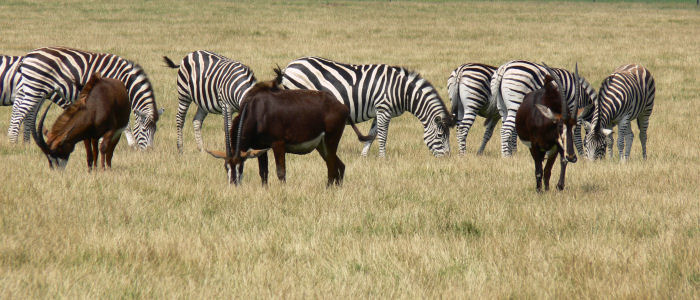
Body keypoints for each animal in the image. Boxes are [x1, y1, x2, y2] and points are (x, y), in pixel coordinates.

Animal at [7, 46, 161, 149]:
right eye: (144, 130)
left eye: (155, 130)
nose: (149, 151)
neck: (125, 81)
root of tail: (27, 56)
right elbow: (125, 124)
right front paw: (129, 144)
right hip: (34, 87)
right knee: (20, 113)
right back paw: (13, 143)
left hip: (33, 88)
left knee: (21, 112)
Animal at [206, 67, 374, 188]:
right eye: (226, 167)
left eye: (240, 166)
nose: (233, 186)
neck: (256, 110)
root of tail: (342, 106)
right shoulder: (260, 147)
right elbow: (263, 172)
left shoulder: (278, 144)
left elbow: (281, 172)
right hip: (322, 145)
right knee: (340, 165)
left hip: (331, 139)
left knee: (332, 167)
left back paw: (328, 189)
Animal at [278, 56, 454, 157]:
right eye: (440, 136)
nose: (448, 158)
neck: (402, 91)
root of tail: (290, 66)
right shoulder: (384, 108)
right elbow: (383, 135)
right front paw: (383, 158)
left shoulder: (379, 112)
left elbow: (373, 133)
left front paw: (364, 156)